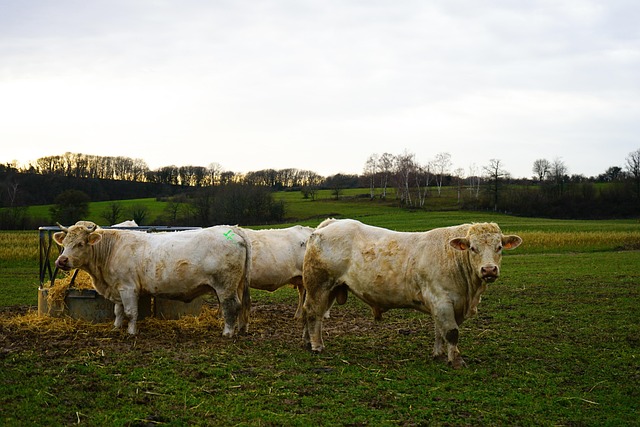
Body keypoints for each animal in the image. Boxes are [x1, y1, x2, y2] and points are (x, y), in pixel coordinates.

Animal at [53, 221, 252, 336]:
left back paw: (227, 332)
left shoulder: (128, 288)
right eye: (64, 243)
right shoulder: (117, 287)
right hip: (237, 284)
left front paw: (131, 332)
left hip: (225, 285)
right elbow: (118, 311)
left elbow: (130, 312)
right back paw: (240, 328)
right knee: (240, 306)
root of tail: (231, 229)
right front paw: (116, 327)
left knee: (231, 306)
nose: (61, 260)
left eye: (80, 244)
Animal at [301, 218, 522, 368]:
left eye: (499, 247)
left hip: (330, 288)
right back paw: (317, 345)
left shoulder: (443, 305)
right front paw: (457, 360)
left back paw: (307, 341)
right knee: (313, 313)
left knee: (311, 313)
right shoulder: (441, 300)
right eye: (473, 248)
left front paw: (439, 354)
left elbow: (440, 331)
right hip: (319, 285)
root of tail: (331, 223)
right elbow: (451, 332)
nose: (489, 270)